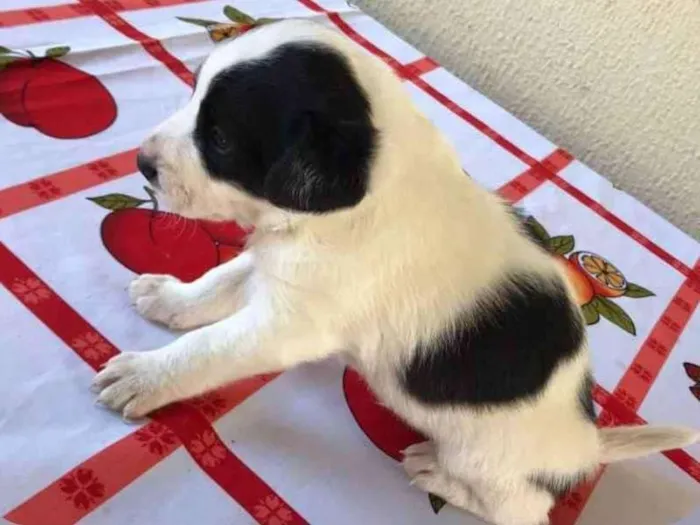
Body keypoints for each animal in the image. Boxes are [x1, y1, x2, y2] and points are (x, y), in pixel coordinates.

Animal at [91, 19, 696, 524]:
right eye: (193, 95)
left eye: (219, 140)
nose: (141, 164)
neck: (357, 198)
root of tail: (587, 443)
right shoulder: (279, 267)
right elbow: (220, 281)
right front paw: (170, 298)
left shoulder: (288, 326)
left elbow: (206, 350)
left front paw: (146, 375)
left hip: (485, 461)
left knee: (518, 509)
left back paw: (437, 474)